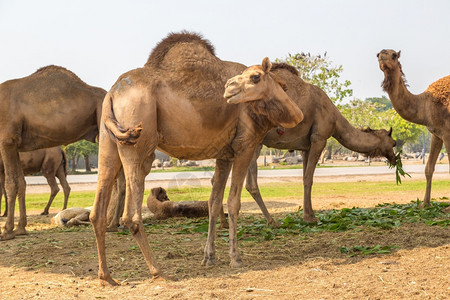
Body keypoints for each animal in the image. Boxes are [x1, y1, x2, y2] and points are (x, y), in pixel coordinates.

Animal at [0, 64, 105, 240]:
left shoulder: (6, 140)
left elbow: (10, 184)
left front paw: (7, 231)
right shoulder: (16, 146)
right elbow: (21, 183)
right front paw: (20, 228)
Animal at [89, 31, 304, 286]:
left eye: (254, 76)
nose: (228, 88)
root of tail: (112, 93)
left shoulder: (224, 155)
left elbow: (213, 202)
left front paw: (209, 257)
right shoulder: (245, 146)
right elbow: (233, 202)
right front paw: (235, 258)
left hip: (108, 142)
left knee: (97, 212)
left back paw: (106, 277)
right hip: (137, 140)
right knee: (131, 214)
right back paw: (158, 271)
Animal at [378, 49, 448, 211]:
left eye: (394, 55)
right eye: (377, 55)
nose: (382, 54)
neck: (425, 105)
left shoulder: (447, 132)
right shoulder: (436, 134)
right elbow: (428, 168)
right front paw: (425, 204)